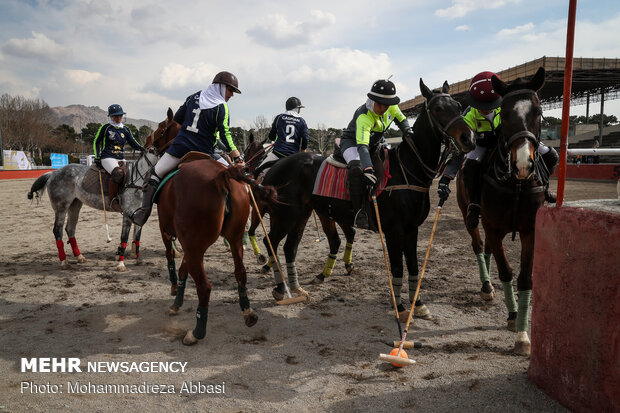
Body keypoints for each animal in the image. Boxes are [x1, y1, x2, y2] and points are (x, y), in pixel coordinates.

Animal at [27, 151, 159, 270]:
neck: (139, 179)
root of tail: (53, 173)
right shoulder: (127, 213)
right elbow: (124, 237)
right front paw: (121, 264)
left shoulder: (138, 214)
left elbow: (137, 237)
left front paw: (138, 260)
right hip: (61, 207)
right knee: (57, 230)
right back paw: (64, 262)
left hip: (75, 204)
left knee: (70, 228)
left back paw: (79, 257)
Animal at [159, 159, 278, 346]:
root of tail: (223, 173)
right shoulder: (190, 246)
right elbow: (183, 269)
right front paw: (176, 302)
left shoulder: (169, 233)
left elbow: (172, 259)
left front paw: (175, 294)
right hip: (233, 239)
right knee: (240, 273)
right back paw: (248, 312)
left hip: (195, 245)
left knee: (204, 287)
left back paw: (197, 332)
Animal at [256, 79, 474, 318]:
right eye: (437, 108)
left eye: (457, 105)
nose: (468, 138)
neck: (408, 170)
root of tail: (276, 164)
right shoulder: (394, 230)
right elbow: (397, 268)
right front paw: (399, 308)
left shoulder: (411, 229)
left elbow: (414, 266)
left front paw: (418, 304)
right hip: (285, 215)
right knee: (270, 241)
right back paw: (280, 288)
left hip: (302, 214)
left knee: (290, 248)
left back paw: (297, 290)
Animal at [456, 67, 548, 354]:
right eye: (504, 114)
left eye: (537, 111)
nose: (523, 164)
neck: (516, 183)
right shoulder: (493, 226)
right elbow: (506, 271)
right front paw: (513, 317)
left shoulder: (530, 229)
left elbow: (525, 278)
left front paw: (523, 333)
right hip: (470, 214)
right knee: (478, 244)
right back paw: (486, 286)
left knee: (486, 248)